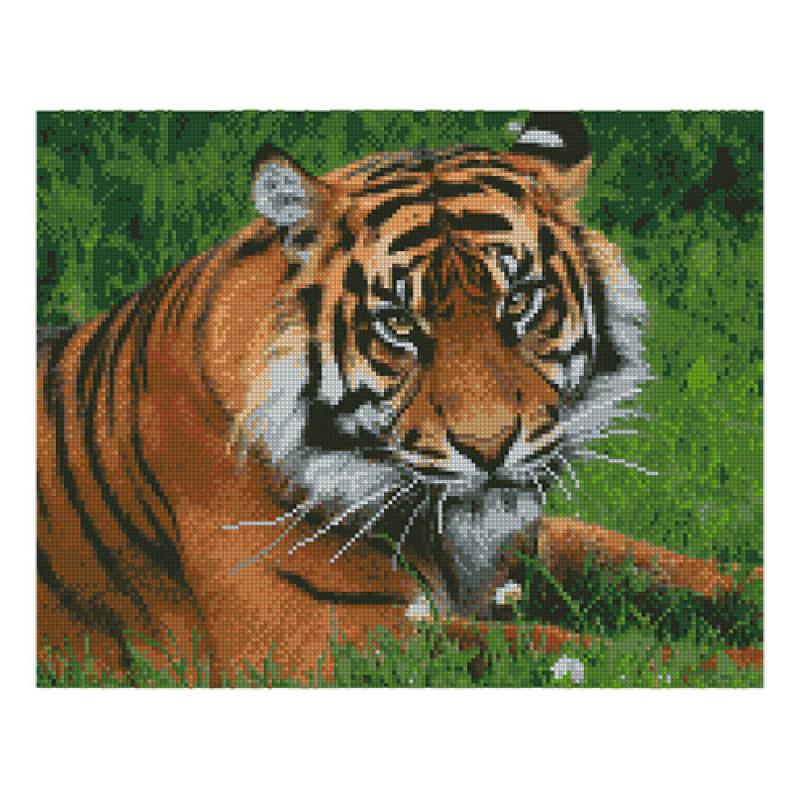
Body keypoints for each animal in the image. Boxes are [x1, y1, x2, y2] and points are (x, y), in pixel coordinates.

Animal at [37, 112, 762, 685]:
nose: (489, 448)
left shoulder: (528, 544)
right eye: (400, 325)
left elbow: (663, 565)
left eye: (520, 302)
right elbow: (577, 648)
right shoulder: (324, 639)